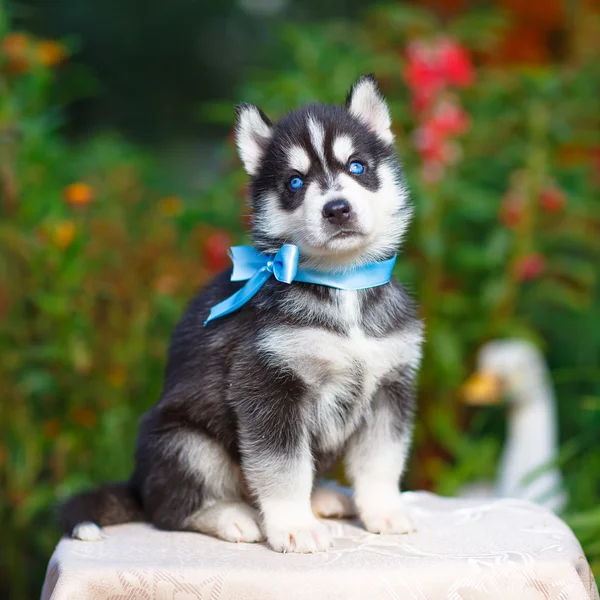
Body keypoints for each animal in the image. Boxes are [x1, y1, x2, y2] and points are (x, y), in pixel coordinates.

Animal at [61, 74, 422, 552]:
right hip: (186, 444)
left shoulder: (389, 388)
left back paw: (324, 497)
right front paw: (295, 526)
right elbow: (283, 468)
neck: (342, 285)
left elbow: (380, 461)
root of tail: (139, 485)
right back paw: (233, 517)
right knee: (171, 509)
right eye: (294, 183)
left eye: (358, 167)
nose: (336, 209)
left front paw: (383, 511)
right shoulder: (268, 386)